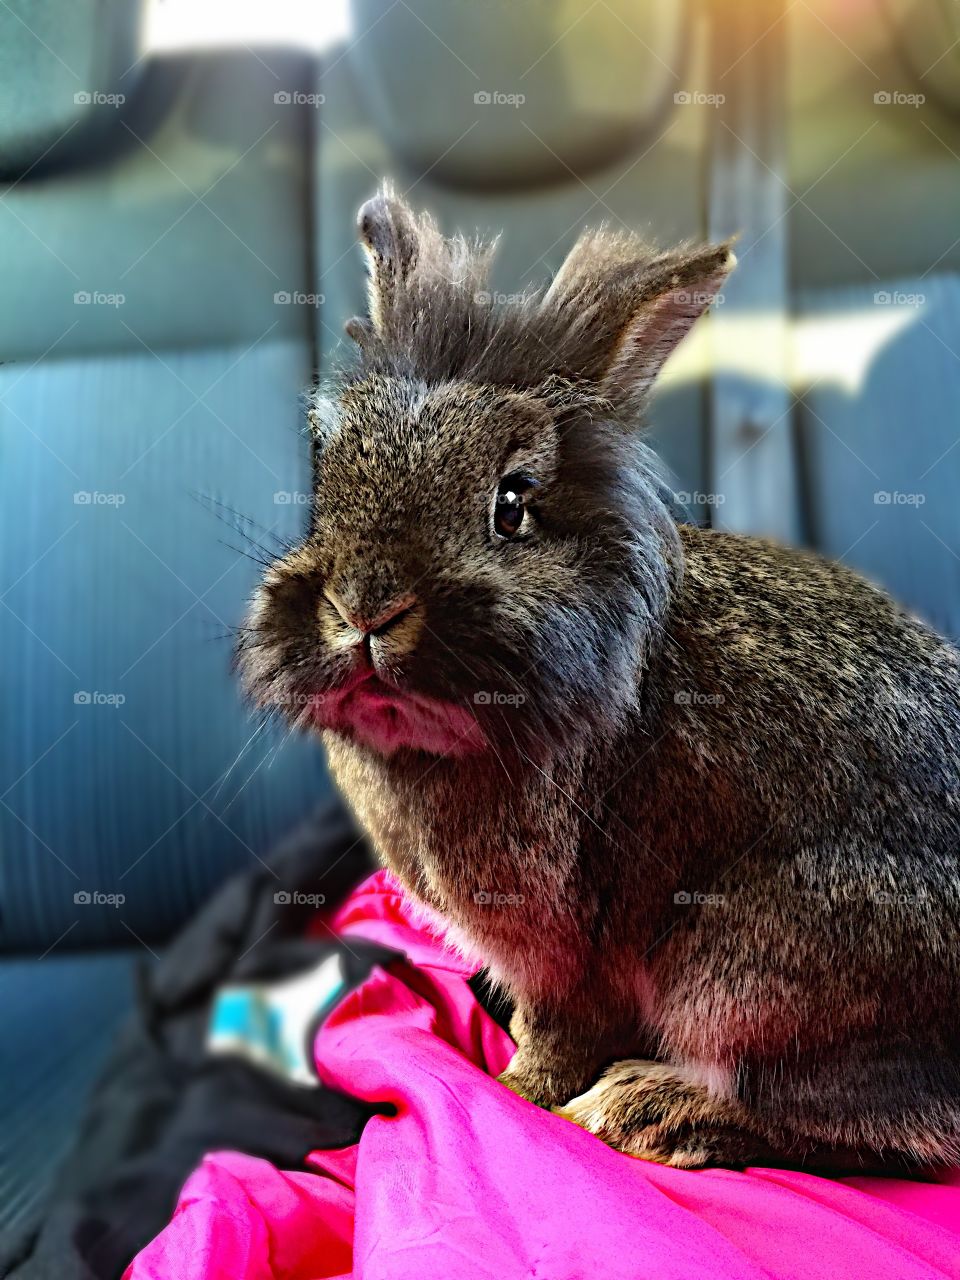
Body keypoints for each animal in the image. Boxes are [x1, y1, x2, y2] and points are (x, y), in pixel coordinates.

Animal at [238, 183, 960, 1170]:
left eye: (512, 506)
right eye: (328, 479)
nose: (365, 607)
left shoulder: (567, 951)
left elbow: (558, 1034)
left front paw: (516, 1091)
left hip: (741, 966)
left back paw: (645, 1110)